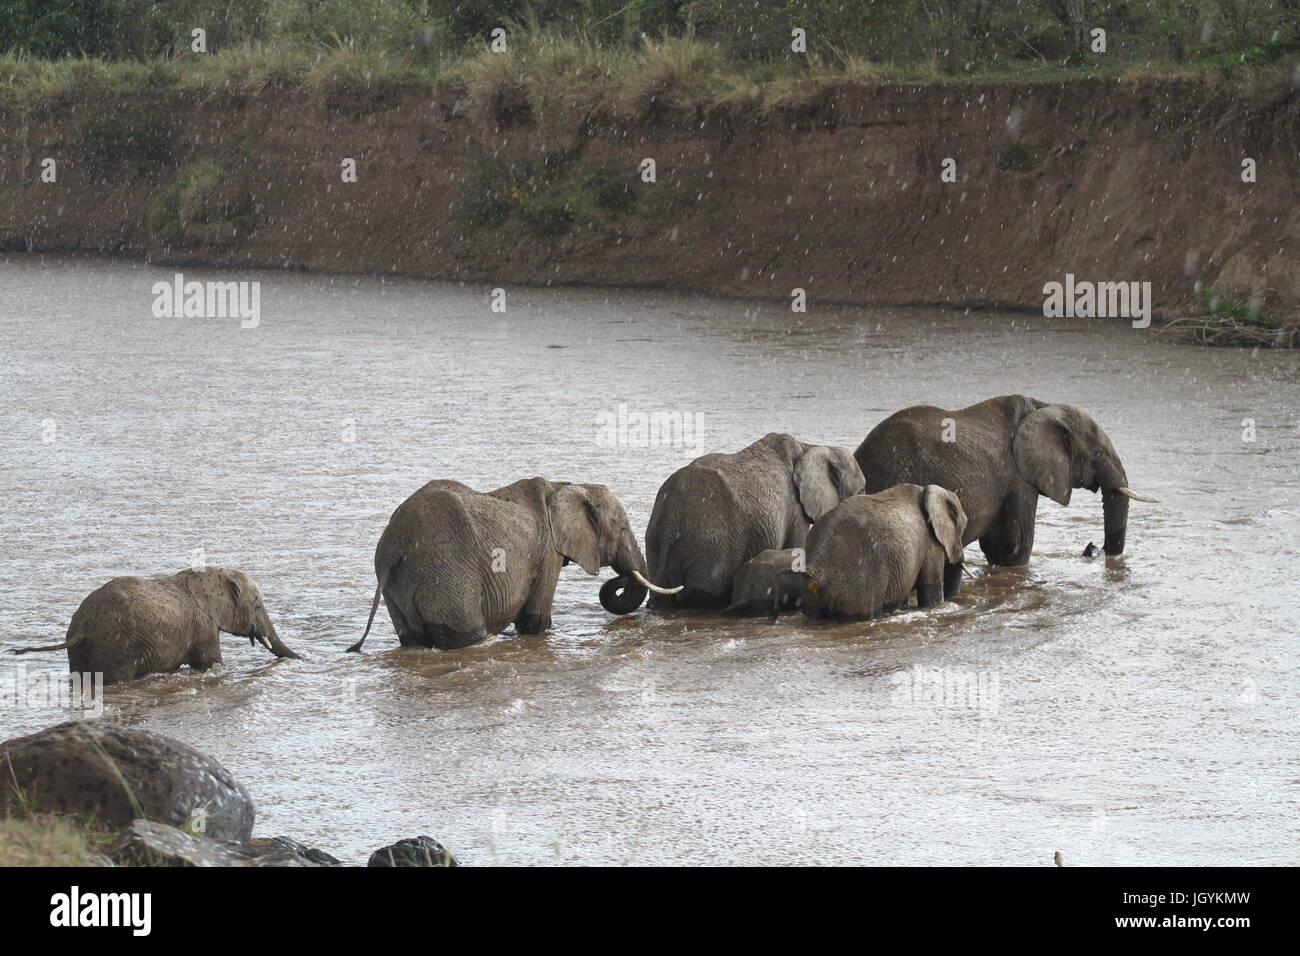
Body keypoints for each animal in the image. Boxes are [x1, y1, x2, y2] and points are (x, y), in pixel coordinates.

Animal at [345, 476, 681, 655]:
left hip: (395, 587)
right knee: (468, 636)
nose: (619, 578)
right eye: (623, 529)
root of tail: (395, 546)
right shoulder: (547, 553)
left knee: (412, 639)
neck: (567, 485)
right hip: (446, 575)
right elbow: (535, 620)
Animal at [639, 431, 863, 608]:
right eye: (861, 491)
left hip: (656, 545)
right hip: (709, 545)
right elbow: (795, 547)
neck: (809, 447)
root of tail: (669, 522)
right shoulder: (795, 509)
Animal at [852, 392, 1159, 587]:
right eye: (1097, 452)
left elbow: (996, 543)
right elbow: (1017, 540)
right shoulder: (1018, 477)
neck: (1045, 406)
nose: (1093, 548)